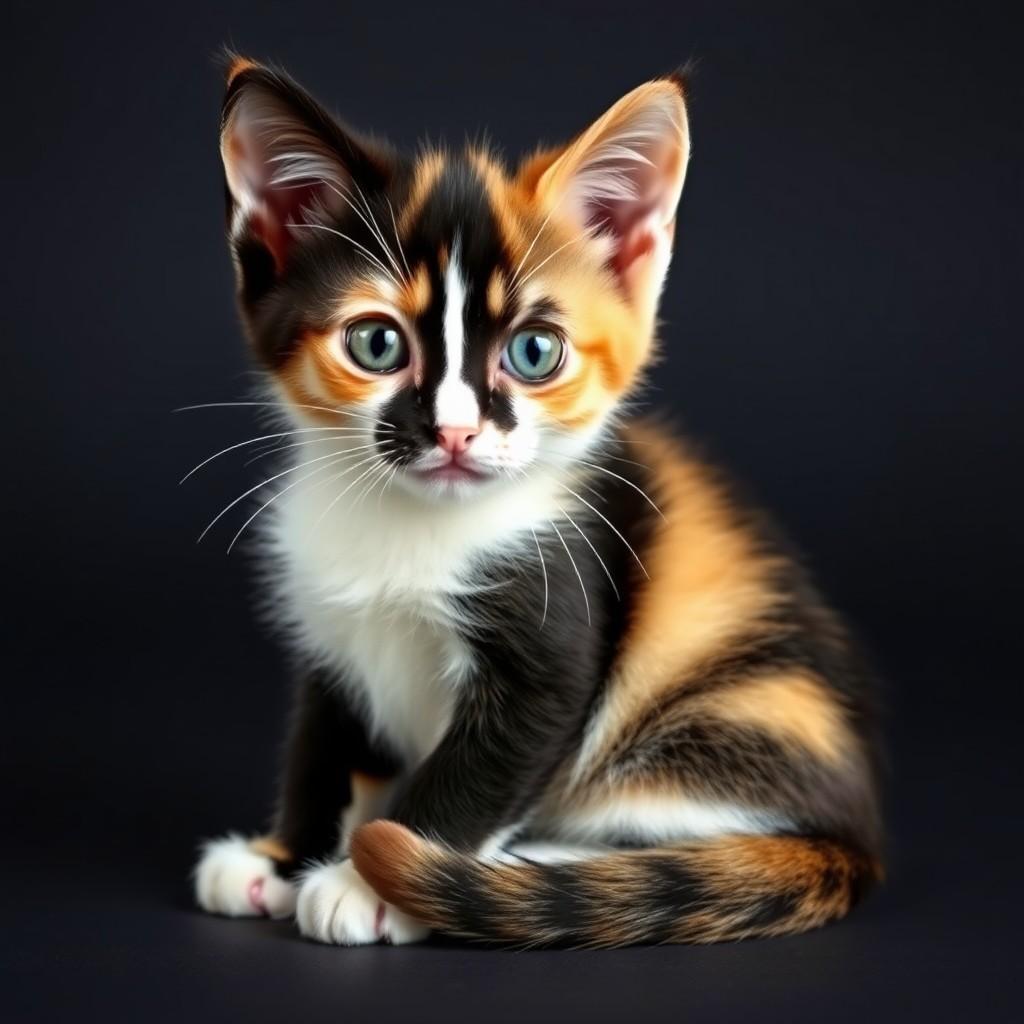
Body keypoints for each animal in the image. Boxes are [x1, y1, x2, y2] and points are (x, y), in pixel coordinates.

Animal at [195, 58, 884, 950]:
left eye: (533, 352)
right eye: (377, 343)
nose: (454, 431)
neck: (411, 523)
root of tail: (857, 843)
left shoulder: (556, 620)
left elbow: (485, 766)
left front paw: (367, 879)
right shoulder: (331, 633)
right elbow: (321, 746)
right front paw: (281, 860)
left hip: (732, 712)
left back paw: (528, 872)